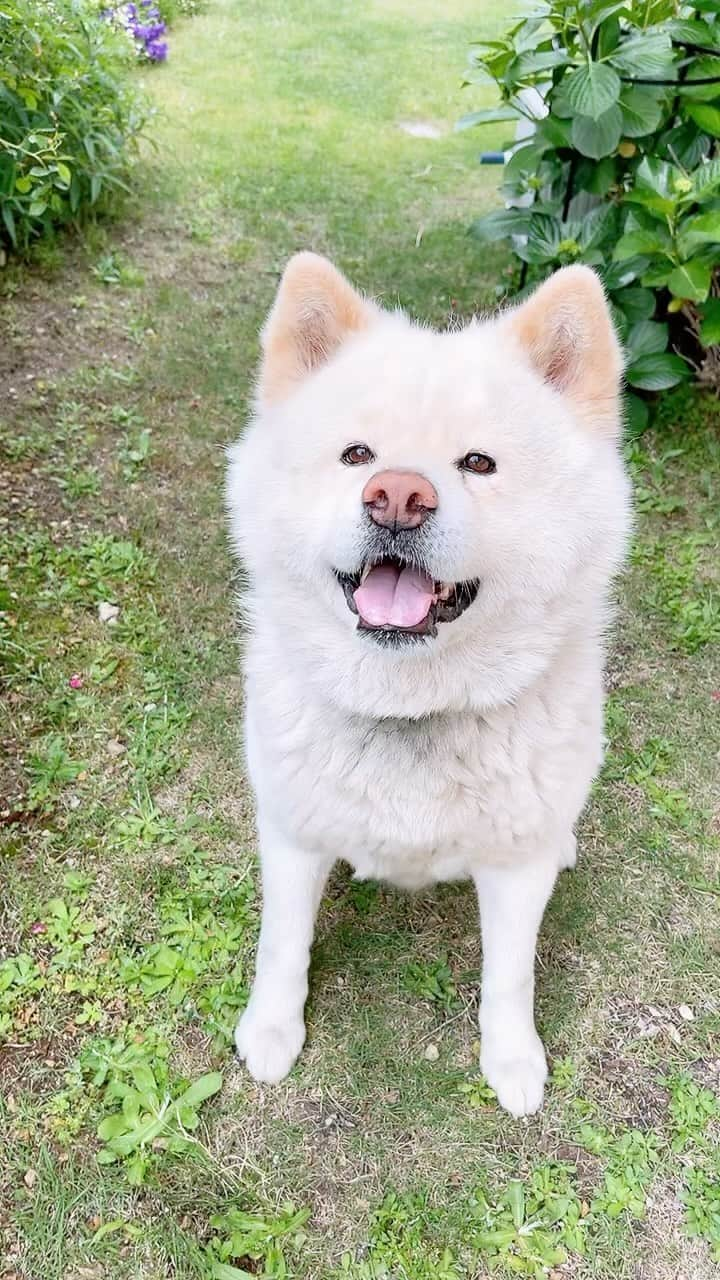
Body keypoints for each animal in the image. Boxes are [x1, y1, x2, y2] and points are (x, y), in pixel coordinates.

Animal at [224, 254, 627, 1116]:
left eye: (478, 464)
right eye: (355, 454)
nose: (398, 497)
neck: (411, 706)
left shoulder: (514, 871)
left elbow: (509, 976)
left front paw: (512, 1061)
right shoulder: (293, 832)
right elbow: (282, 944)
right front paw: (271, 1030)